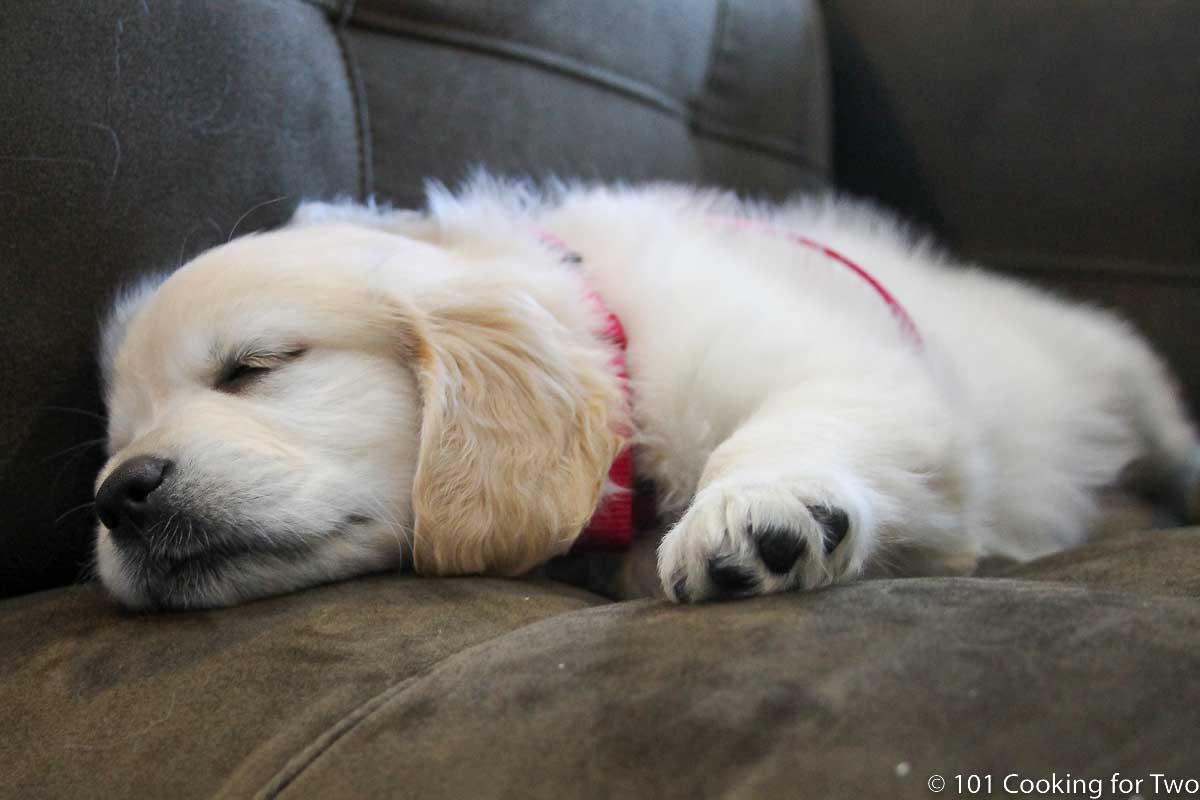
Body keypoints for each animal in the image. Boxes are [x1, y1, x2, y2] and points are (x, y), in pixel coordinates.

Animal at [93, 178, 1200, 609]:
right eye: (122, 431)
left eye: (254, 366)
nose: (117, 496)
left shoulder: (862, 378)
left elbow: (796, 422)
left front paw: (759, 514)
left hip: (1114, 363)